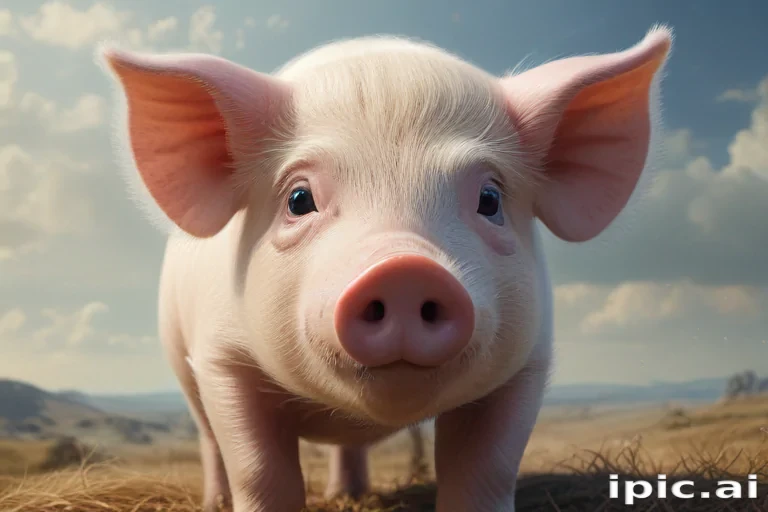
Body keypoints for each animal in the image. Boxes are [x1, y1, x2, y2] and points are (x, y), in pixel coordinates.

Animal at [98, 24, 673, 512]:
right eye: (299, 198)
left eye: (490, 199)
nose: (405, 270)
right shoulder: (221, 358)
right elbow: (259, 472)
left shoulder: (528, 361)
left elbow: (487, 471)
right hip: (182, 363)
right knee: (209, 440)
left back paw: (350, 494)